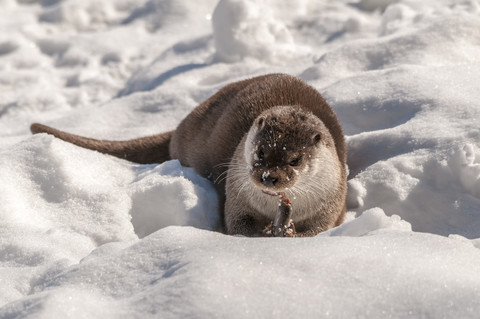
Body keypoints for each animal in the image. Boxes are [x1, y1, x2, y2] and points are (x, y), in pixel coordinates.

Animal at [31, 73, 344, 238]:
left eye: (294, 160)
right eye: (261, 150)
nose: (269, 177)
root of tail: (181, 126)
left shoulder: (332, 198)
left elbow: (320, 227)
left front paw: (291, 232)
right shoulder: (237, 195)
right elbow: (237, 224)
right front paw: (266, 232)